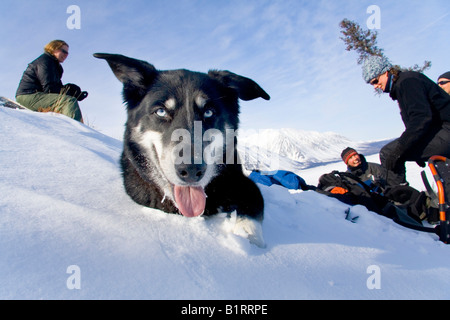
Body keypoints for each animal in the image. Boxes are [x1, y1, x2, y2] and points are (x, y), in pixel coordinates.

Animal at [94, 53, 268, 248]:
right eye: (161, 111)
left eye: (208, 112)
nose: (191, 169)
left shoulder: (245, 184)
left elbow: (251, 212)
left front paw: (249, 240)